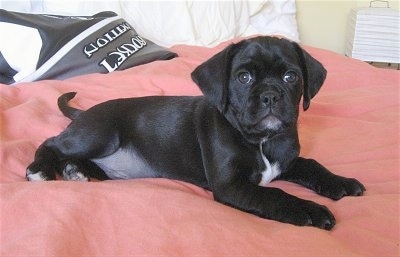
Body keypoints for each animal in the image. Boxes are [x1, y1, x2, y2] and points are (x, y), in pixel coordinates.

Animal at [27, 35, 366, 228]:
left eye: (290, 76)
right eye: (243, 77)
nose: (270, 95)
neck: (262, 141)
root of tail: (86, 113)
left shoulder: (287, 161)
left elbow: (312, 164)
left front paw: (340, 182)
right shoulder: (232, 185)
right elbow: (276, 195)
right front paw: (309, 210)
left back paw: (76, 172)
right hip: (101, 134)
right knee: (51, 143)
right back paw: (41, 170)